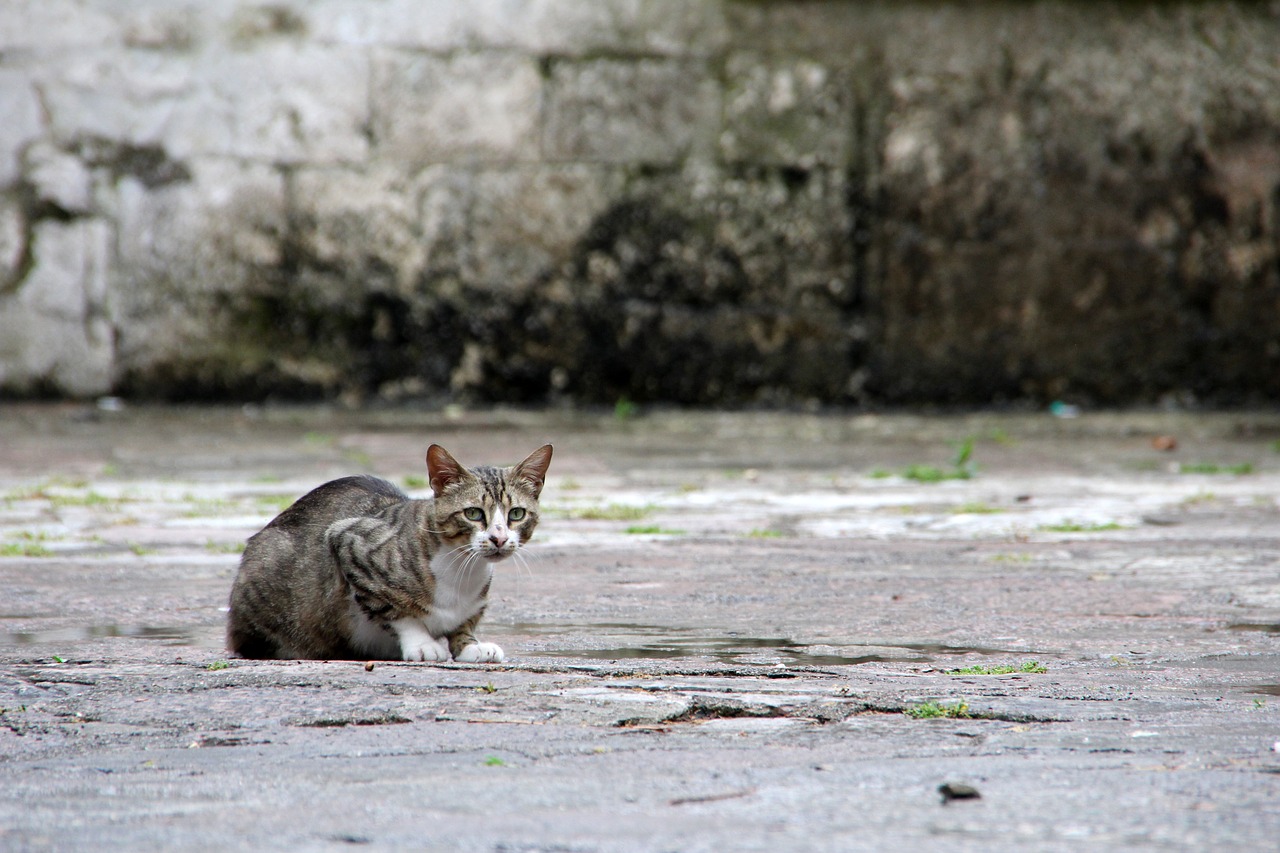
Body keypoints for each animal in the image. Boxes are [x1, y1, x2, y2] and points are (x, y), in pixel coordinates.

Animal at [227, 440, 552, 660]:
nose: (498, 539)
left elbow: (465, 622)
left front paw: (470, 645)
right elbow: (396, 612)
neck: (462, 570)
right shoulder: (348, 541)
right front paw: (422, 644)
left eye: (516, 514)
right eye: (473, 514)